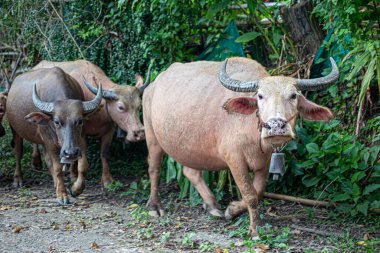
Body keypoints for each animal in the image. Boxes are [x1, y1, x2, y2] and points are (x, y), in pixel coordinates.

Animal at [31, 60, 148, 188]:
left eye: (139, 106)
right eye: (120, 107)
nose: (139, 133)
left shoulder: (109, 131)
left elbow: (104, 154)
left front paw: (107, 180)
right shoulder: (81, 134)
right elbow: (83, 161)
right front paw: (76, 181)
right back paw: (37, 161)